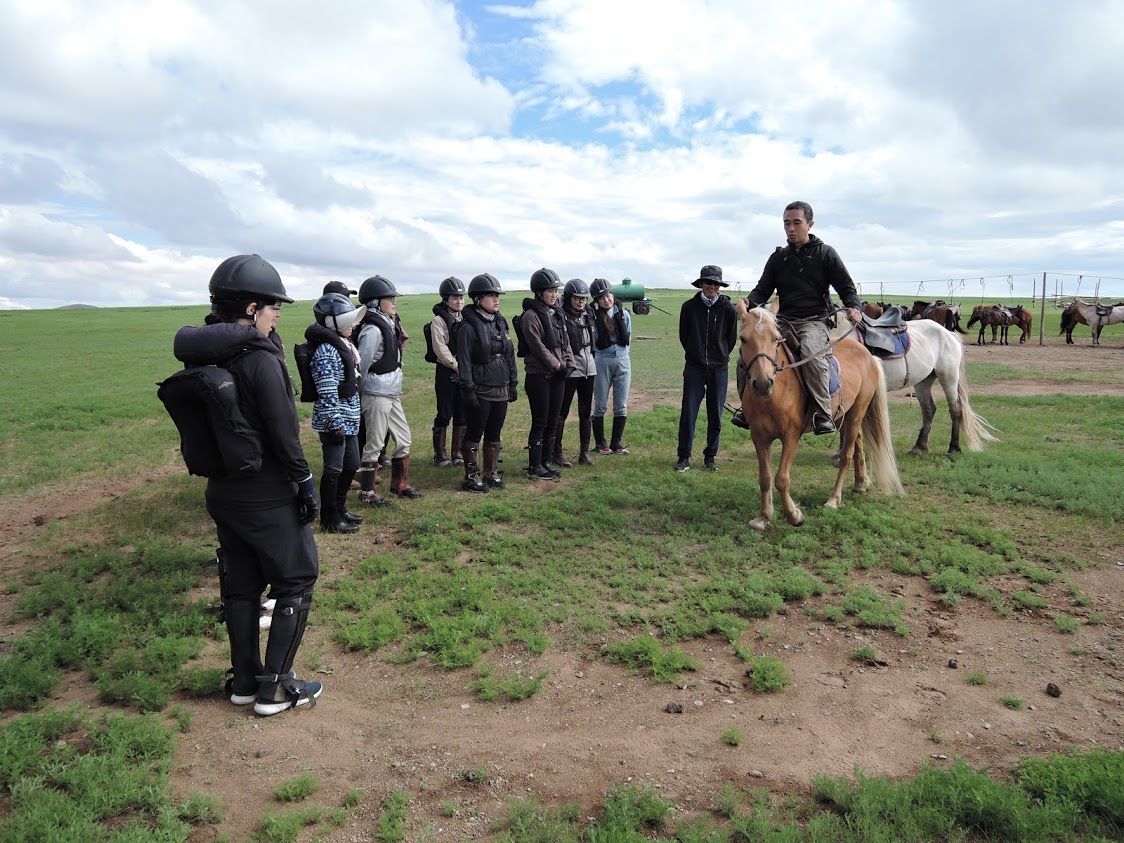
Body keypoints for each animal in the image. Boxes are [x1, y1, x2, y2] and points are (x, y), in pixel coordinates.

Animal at [737, 301, 903, 530]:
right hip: (844, 415)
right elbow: (765, 477)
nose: (763, 383)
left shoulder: (791, 435)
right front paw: (763, 517)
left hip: (857, 413)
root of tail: (869, 355)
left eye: (776, 339)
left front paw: (794, 515)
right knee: (858, 445)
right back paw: (860, 484)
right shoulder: (759, 437)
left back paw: (834, 499)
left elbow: (781, 478)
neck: (774, 395)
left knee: (847, 455)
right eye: (743, 339)